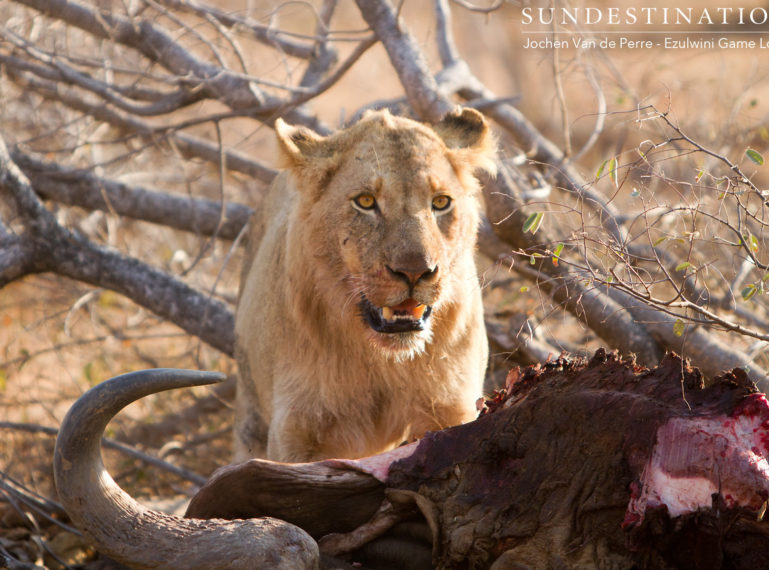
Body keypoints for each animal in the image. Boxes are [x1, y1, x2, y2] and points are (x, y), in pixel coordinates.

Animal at [234, 107, 496, 462]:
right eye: (366, 201)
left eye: (441, 202)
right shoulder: (294, 433)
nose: (415, 272)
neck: (380, 363)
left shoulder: (451, 408)